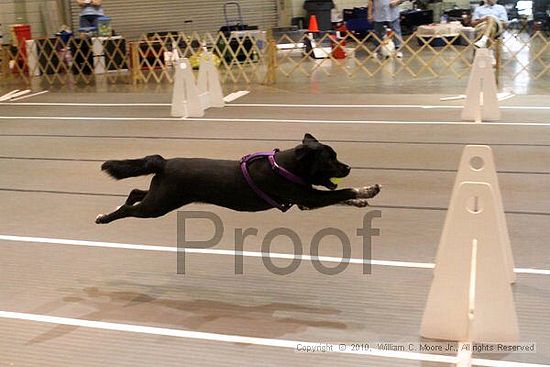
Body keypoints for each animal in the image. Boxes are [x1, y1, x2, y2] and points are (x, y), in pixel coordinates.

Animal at [96, 133, 380, 223]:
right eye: (329, 159)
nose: (348, 168)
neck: (284, 166)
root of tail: (165, 162)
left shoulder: (305, 201)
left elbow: (338, 196)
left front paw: (362, 198)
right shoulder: (307, 197)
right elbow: (341, 192)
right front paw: (366, 190)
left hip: (161, 194)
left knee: (135, 192)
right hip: (158, 205)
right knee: (129, 210)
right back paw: (104, 217)